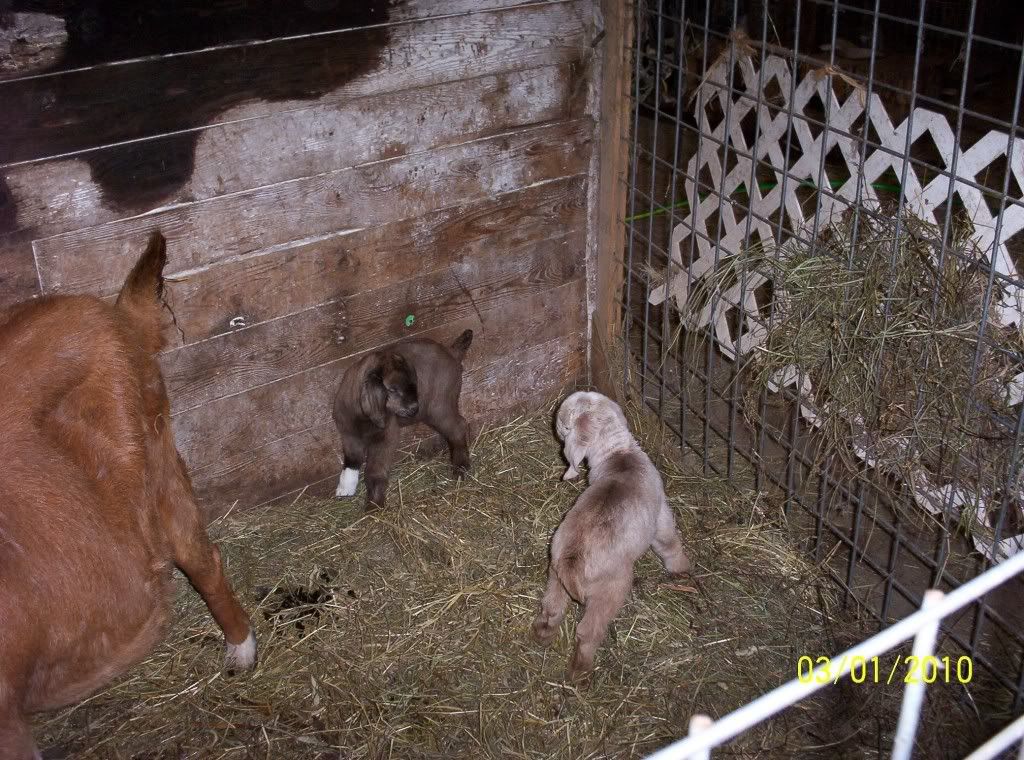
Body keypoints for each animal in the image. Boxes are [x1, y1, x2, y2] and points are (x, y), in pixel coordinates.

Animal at [332, 330, 473, 510]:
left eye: (414, 384)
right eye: (392, 389)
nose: (414, 408)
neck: (364, 420)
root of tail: (451, 352)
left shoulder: (386, 435)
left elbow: (374, 470)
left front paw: (374, 504)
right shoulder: (349, 434)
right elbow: (351, 461)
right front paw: (345, 489)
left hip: (439, 406)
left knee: (458, 427)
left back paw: (461, 468)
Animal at [532, 391, 690, 682]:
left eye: (564, 424)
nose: (557, 427)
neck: (619, 454)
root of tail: (572, 561)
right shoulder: (660, 511)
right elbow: (668, 540)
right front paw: (681, 569)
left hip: (555, 573)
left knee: (551, 608)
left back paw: (542, 635)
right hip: (611, 587)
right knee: (588, 631)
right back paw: (580, 672)